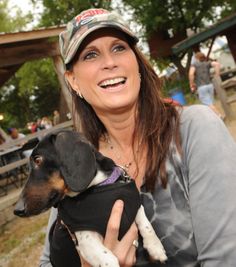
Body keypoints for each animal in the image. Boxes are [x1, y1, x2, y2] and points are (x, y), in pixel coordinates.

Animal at [13, 131, 167, 266]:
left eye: (38, 160)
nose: (17, 210)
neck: (97, 187)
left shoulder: (132, 204)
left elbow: (146, 224)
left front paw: (156, 248)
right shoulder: (86, 240)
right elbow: (109, 260)